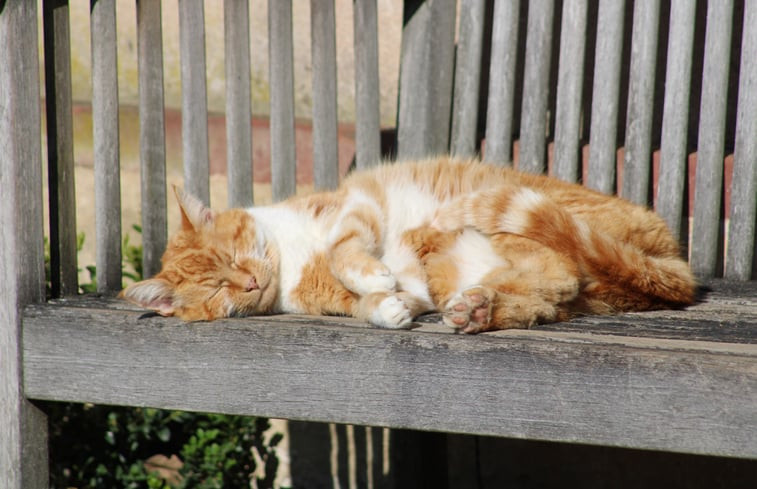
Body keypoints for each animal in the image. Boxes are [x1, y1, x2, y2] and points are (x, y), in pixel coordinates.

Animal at [121, 156, 692, 332]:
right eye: (217, 290)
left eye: (236, 256)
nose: (249, 282)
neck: (290, 258)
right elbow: (365, 304)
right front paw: (386, 307)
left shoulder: (357, 204)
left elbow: (344, 250)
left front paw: (373, 275)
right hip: (460, 268)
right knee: (548, 292)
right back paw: (476, 310)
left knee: (560, 270)